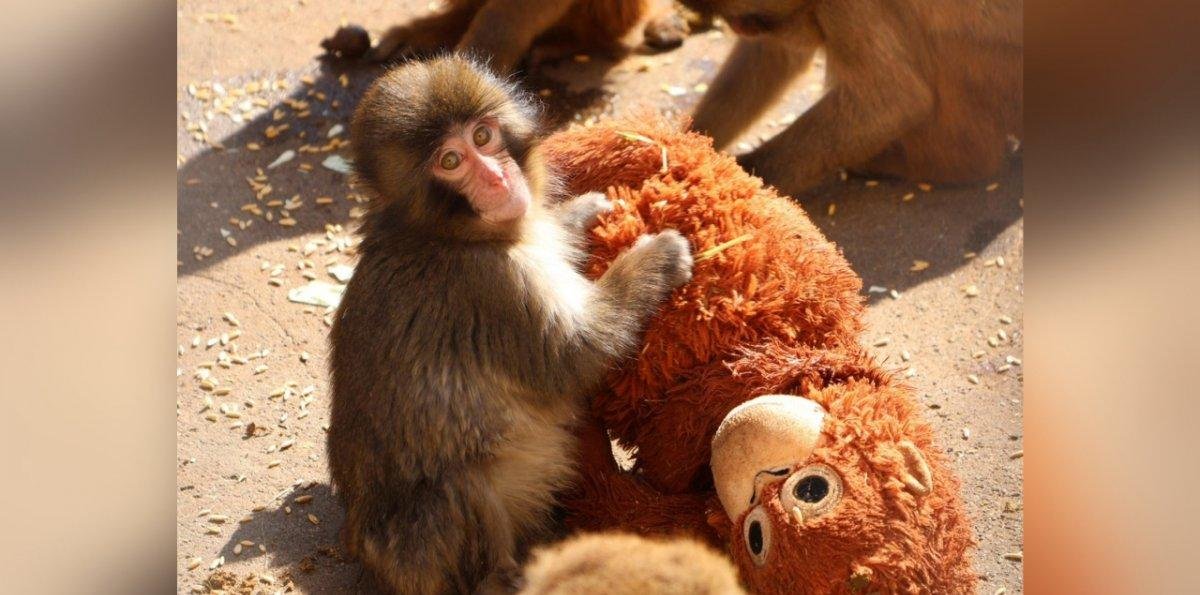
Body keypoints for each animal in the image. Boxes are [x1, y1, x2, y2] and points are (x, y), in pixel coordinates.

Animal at [327, 55, 694, 594]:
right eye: (450, 162)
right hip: (419, 554)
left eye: (483, 136)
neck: (447, 234)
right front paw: (656, 258)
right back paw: (509, 575)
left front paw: (581, 212)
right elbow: (575, 355)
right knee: (460, 486)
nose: (498, 179)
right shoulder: (493, 286)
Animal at [682, 0, 1023, 195]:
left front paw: (740, 182)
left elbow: (893, 100)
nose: (738, 27)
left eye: (746, 19)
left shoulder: (848, 4)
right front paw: (688, 140)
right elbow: (776, 53)